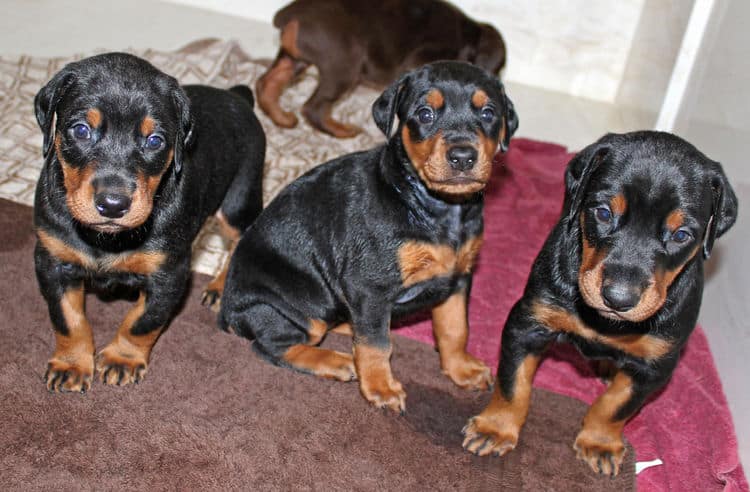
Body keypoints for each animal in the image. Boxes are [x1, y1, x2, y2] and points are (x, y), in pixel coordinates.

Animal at [33, 52, 268, 392]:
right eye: (80, 130)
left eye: (155, 140)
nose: (113, 205)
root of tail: (237, 97)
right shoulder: (52, 261)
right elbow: (67, 318)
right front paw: (72, 364)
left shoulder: (169, 273)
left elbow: (142, 321)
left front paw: (123, 359)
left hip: (239, 197)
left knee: (240, 236)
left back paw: (221, 286)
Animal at [219, 61, 516, 412]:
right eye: (425, 113)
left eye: (488, 112)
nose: (462, 157)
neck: (437, 208)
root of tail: (227, 312)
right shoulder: (370, 285)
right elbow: (377, 344)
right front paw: (381, 387)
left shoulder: (457, 278)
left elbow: (455, 328)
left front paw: (460, 368)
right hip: (292, 307)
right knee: (271, 345)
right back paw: (335, 361)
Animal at [256, 0, 508, 137]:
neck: (468, 38)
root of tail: (290, 14)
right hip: (345, 64)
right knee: (313, 107)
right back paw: (343, 130)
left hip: (294, 58)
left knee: (268, 82)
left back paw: (281, 118)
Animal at [464, 132, 740, 476]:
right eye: (604, 212)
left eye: (681, 235)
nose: (618, 298)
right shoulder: (529, 323)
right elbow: (513, 383)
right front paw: (495, 428)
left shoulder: (656, 364)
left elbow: (617, 404)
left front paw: (600, 442)